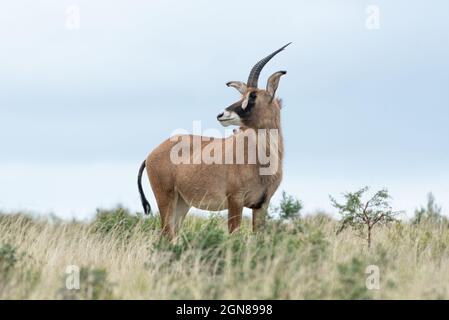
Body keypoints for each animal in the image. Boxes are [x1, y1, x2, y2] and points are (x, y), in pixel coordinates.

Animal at [137, 43, 290, 238]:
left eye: (253, 96)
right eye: (243, 95)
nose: (221, 114)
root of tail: (151, 155)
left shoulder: (262, 205)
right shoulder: (235, 200)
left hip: (181, 203)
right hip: (166, 199)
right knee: (166, 234)